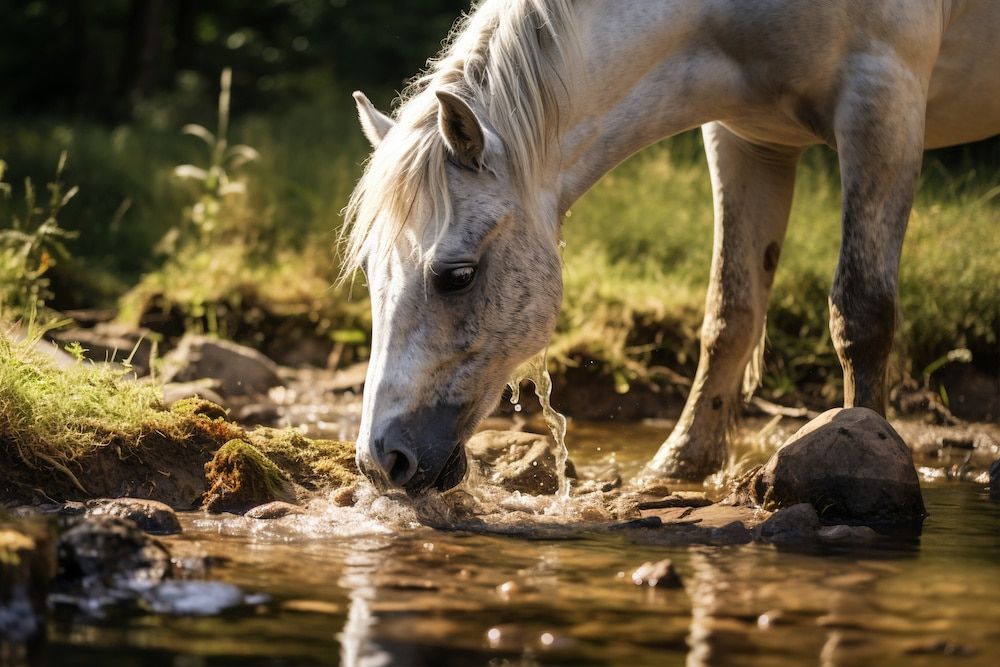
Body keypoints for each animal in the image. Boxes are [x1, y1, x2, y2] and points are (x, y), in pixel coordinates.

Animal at [344, 0, 1000, 492]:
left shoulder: (883, 100)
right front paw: (681, 464)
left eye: (457, 275)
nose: (381, 462)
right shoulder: (748, 138)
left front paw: (868, 448)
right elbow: (730, 313)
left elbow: (861, 313)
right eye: (373, 274)